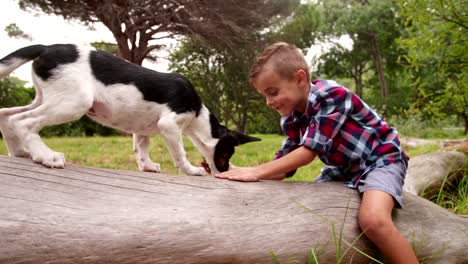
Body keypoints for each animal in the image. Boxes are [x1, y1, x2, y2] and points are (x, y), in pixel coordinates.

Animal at [0, 43, 260, 175]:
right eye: (226, 154)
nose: (225, 172)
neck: (198, 112)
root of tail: (46, 47)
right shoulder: (170, 126)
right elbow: (180, 154)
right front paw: (192, 170)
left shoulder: (143, 129)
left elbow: (141, 148)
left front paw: (147, 166)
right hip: (73, 102)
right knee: (24, 121)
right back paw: (46, 156)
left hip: (47, 98)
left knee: (7, 115)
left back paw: (20, 152)